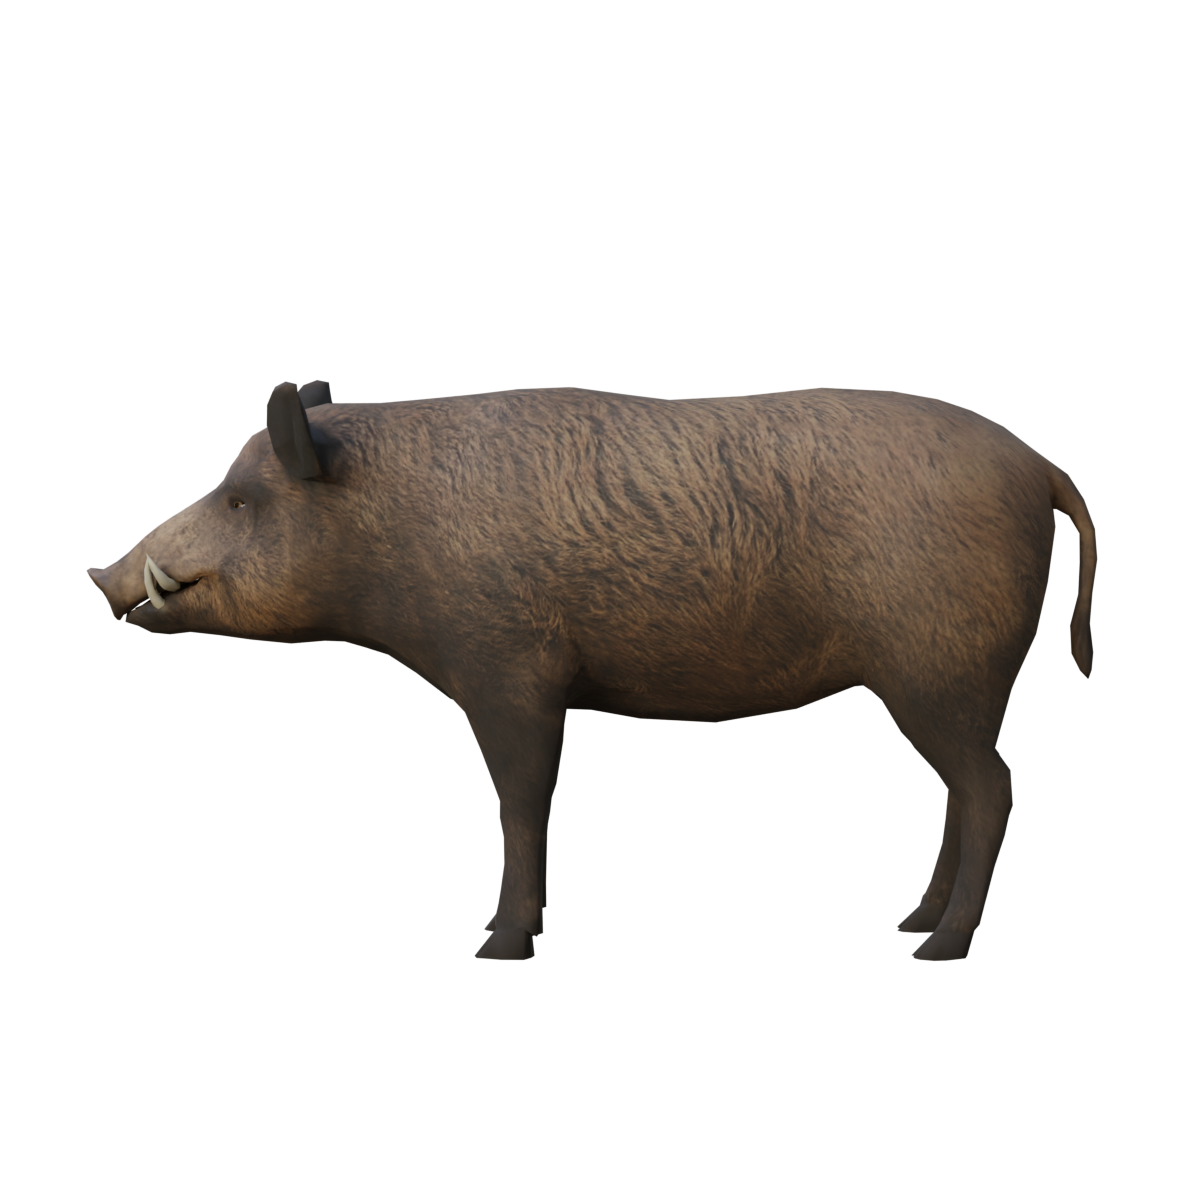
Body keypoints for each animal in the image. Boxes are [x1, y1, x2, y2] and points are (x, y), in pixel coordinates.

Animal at [86, 380, 1097, 962]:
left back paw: (940, 949)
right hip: (949, 683)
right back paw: (911, 924)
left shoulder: (509, 667)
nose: (100, 577)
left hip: (942, 667)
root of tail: (1040, 463)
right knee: (966, 789)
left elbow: (522, 798)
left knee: (993, 787)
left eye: (240, 498)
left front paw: (498, 947)